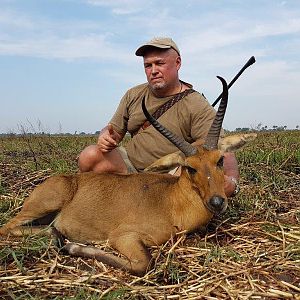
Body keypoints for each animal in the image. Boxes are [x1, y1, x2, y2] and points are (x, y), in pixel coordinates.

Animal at [0, 76, 258, 276]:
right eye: (190, 167)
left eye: (220, 160)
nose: (217, 201)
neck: (171, 202)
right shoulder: (123, 237)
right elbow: (143, 265)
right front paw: (75, 248)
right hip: (45, 205)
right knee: (8, 227)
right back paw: (61, 237)